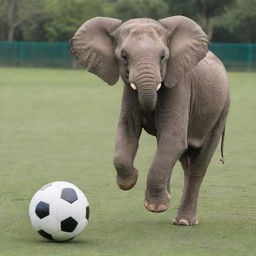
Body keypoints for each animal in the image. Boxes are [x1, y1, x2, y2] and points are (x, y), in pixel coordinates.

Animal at [71, 16, 231, 225]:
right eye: (124, 56)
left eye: (163, 56)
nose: (149, 113)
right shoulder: (129, 92)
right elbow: (127, 132)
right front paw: (128, 181)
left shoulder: (180, 85)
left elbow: (173, 139)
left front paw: (156, 207)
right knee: (184, 160)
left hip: (221, 110)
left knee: (198, 163)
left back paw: (184, 221)